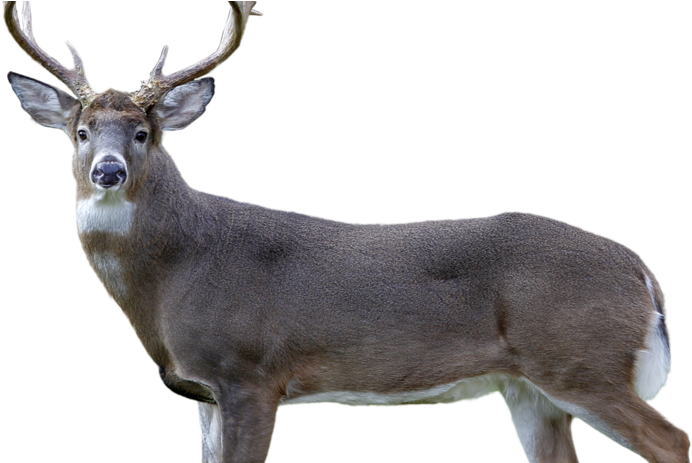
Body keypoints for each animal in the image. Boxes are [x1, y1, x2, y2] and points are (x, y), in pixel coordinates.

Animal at [4, 2, 690, 462]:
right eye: (80, 133)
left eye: (145, 133)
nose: (109, 170)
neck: (176, 275)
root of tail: (641, 271)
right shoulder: (203, 394)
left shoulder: (251, 372)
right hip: (530, 387)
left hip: (581, 359)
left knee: (673, 439)